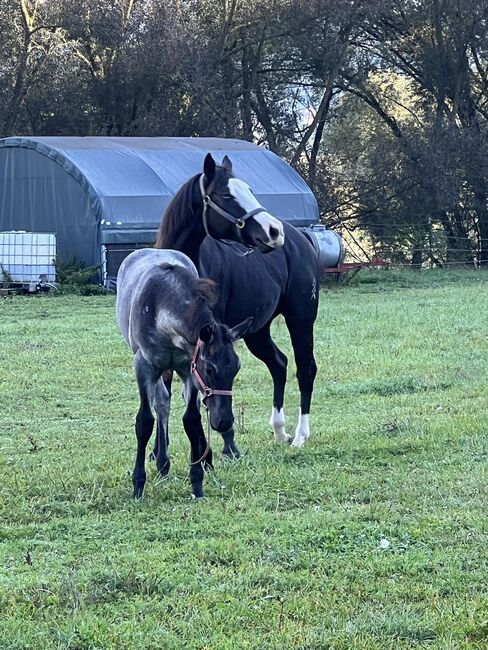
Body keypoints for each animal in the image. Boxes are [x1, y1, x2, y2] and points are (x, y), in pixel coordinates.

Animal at [116, 248, 250, 496]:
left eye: (236, 367)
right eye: (209, 368)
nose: (224, 421)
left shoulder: (188, 368)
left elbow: (192, 420)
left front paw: (197, 480)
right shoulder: (144, 365)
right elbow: (144, 421)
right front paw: (138, 483)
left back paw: (200, 459)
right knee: (162, 403)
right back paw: (162, 463)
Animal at [154, 154, 318, 454]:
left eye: (250, 190)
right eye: (226, 194)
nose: (273, 231)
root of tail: (301, 239)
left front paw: (227, 444)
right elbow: (167, 388)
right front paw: (158, 451)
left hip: (301, 319)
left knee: (305, 369)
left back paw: (301, 435)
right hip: (257, 331)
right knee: (279, 364)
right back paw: (279, 431)